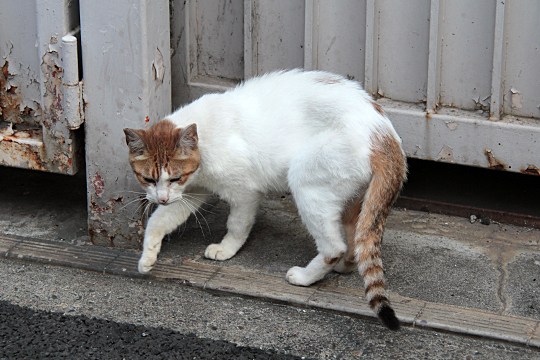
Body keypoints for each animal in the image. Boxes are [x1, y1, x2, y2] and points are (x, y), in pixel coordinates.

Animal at [124, 69, 408, 330]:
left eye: (174, 177)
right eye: (148, 179)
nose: (161, 198)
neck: (204, 143)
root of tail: (385, 134)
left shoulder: (243, 192)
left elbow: (237, 225)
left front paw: (226, 249)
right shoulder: (191, 193)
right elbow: (159, 221)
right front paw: (147, 257)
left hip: (305, 182)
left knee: (333, 246)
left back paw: (305, 276)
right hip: (351, 200)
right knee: (355, 238)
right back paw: (343, 265)